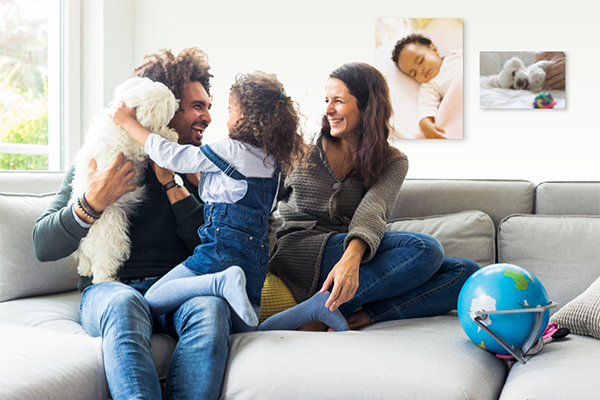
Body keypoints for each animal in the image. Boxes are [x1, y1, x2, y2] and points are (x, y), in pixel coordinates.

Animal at [70, 77, 178, 284]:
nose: (177, 103)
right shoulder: (135, 143)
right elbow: (151, 138)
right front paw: (169, 134)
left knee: (85, 259)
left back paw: (84, 269)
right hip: (113, 234)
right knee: (103, 265)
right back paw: (106, 279)